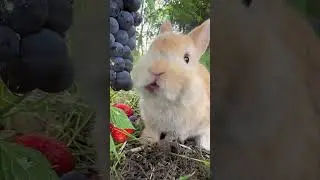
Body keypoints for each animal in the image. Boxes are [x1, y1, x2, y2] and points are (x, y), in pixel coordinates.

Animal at [130, 19, 210, 150]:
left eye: (187, 59)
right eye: (151, 48)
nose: (156, 70)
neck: (166, 102)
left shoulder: (179, 129)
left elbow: (172, 136)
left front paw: (166, 144)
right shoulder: (151, 123)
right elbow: (152, 131)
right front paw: (146, 141)